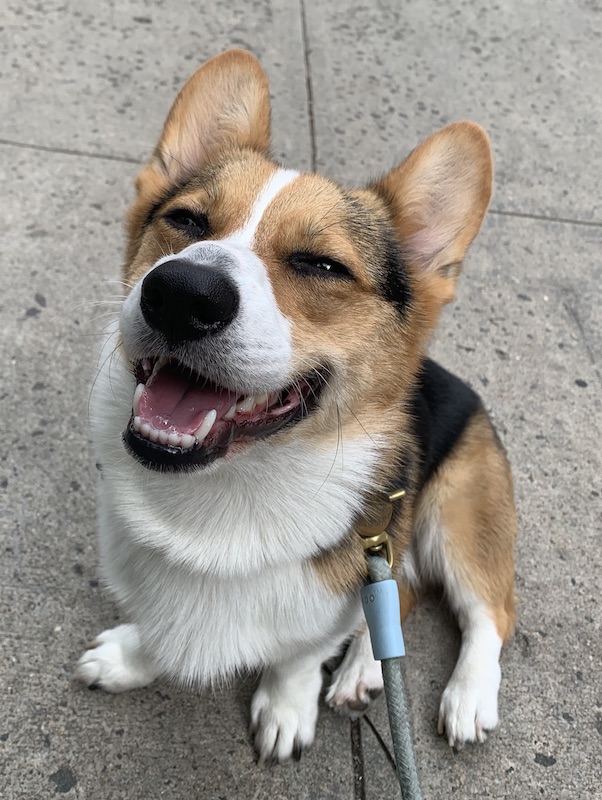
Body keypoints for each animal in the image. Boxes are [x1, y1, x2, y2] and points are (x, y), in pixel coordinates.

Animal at [75, 47, 516, 760]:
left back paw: (465, 695)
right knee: (400, 592)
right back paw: (367, 669)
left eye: (321, 265)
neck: (226, 496)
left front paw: (286, 707)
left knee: (486, 611)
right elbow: (158, 631)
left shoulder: (328, 604)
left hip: (456, 511)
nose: (180, 293)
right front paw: (130, 660)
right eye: (186, 220)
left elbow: (298, 656)